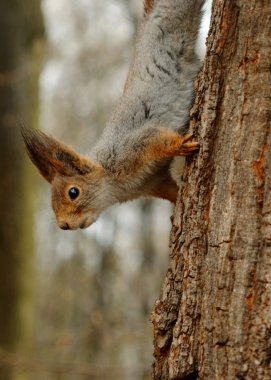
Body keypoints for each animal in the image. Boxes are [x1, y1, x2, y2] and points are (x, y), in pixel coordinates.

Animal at [21, 0, 204, 230]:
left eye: (73, 192)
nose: (64, 225)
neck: (113, 182)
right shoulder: (155, 182)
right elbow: (172, 190)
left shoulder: (132, 146)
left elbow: (157, 139)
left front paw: (180, 144)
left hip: (176, 19)